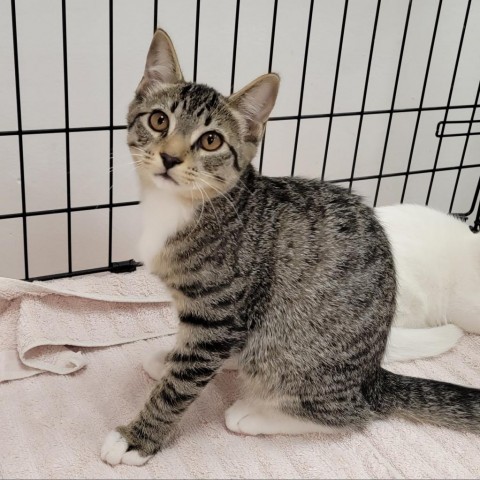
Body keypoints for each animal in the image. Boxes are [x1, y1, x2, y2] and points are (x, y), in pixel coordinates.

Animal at [101, 29, 480, 464]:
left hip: (291, 348)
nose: (169, 157)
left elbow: (183, 381)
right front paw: (170, 361)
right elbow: (190, 353)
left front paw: (137, 437)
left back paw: (257, 415)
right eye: (159, 120)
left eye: (211, 140)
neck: (185, 207)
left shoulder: (219, 314)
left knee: (350, 414)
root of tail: (370, 379)